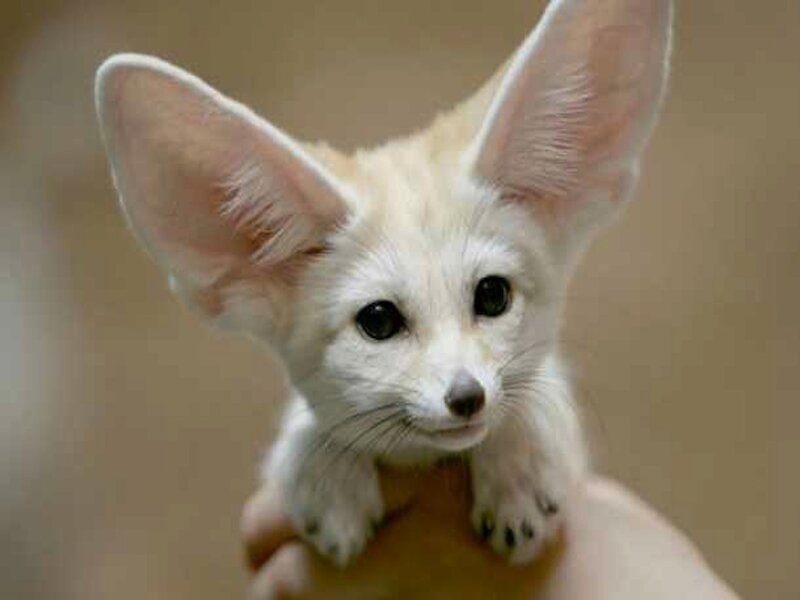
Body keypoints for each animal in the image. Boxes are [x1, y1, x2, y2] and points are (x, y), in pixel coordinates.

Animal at [95, 0, 672, 567]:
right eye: (378, 320)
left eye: (492, 295)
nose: (467, 397)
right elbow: (312, 425)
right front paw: (324, 467)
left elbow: (534, 390)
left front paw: (518, 465)